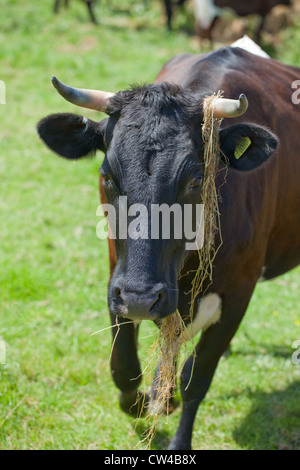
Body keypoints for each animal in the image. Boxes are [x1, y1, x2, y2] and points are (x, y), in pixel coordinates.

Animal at [37, 42, 300, 450]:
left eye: (195, 180)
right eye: (107, 175)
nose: (142, 298)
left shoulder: (240, 291)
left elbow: (198, 376)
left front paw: (176, 430)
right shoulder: (117, 279)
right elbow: (124, 366)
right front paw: (145, 402)